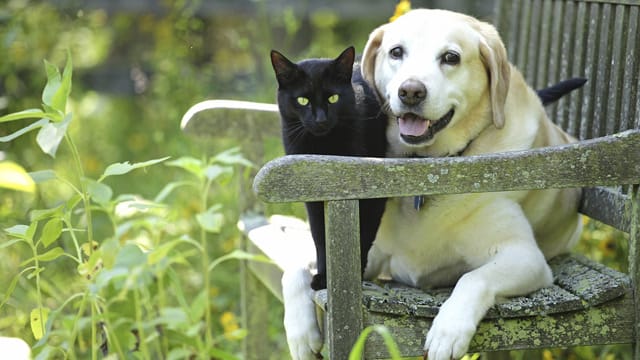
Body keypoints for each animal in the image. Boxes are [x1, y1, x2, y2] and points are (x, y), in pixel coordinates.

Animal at [268, 45, 584, 292]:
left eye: (333, 98)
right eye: (302, 100)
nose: (320, 119)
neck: (327, 145)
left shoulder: (370, 192)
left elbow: (362, 233)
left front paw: (350, 275)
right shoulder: (312, 194)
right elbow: (320, 238)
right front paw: (324, 277)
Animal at [360, 8, 584, 360]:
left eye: (450, 57)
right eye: (396, 52)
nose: (410, 91)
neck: (427, 170)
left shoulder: (524, 257)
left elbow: (473, 277)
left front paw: (448, 331)